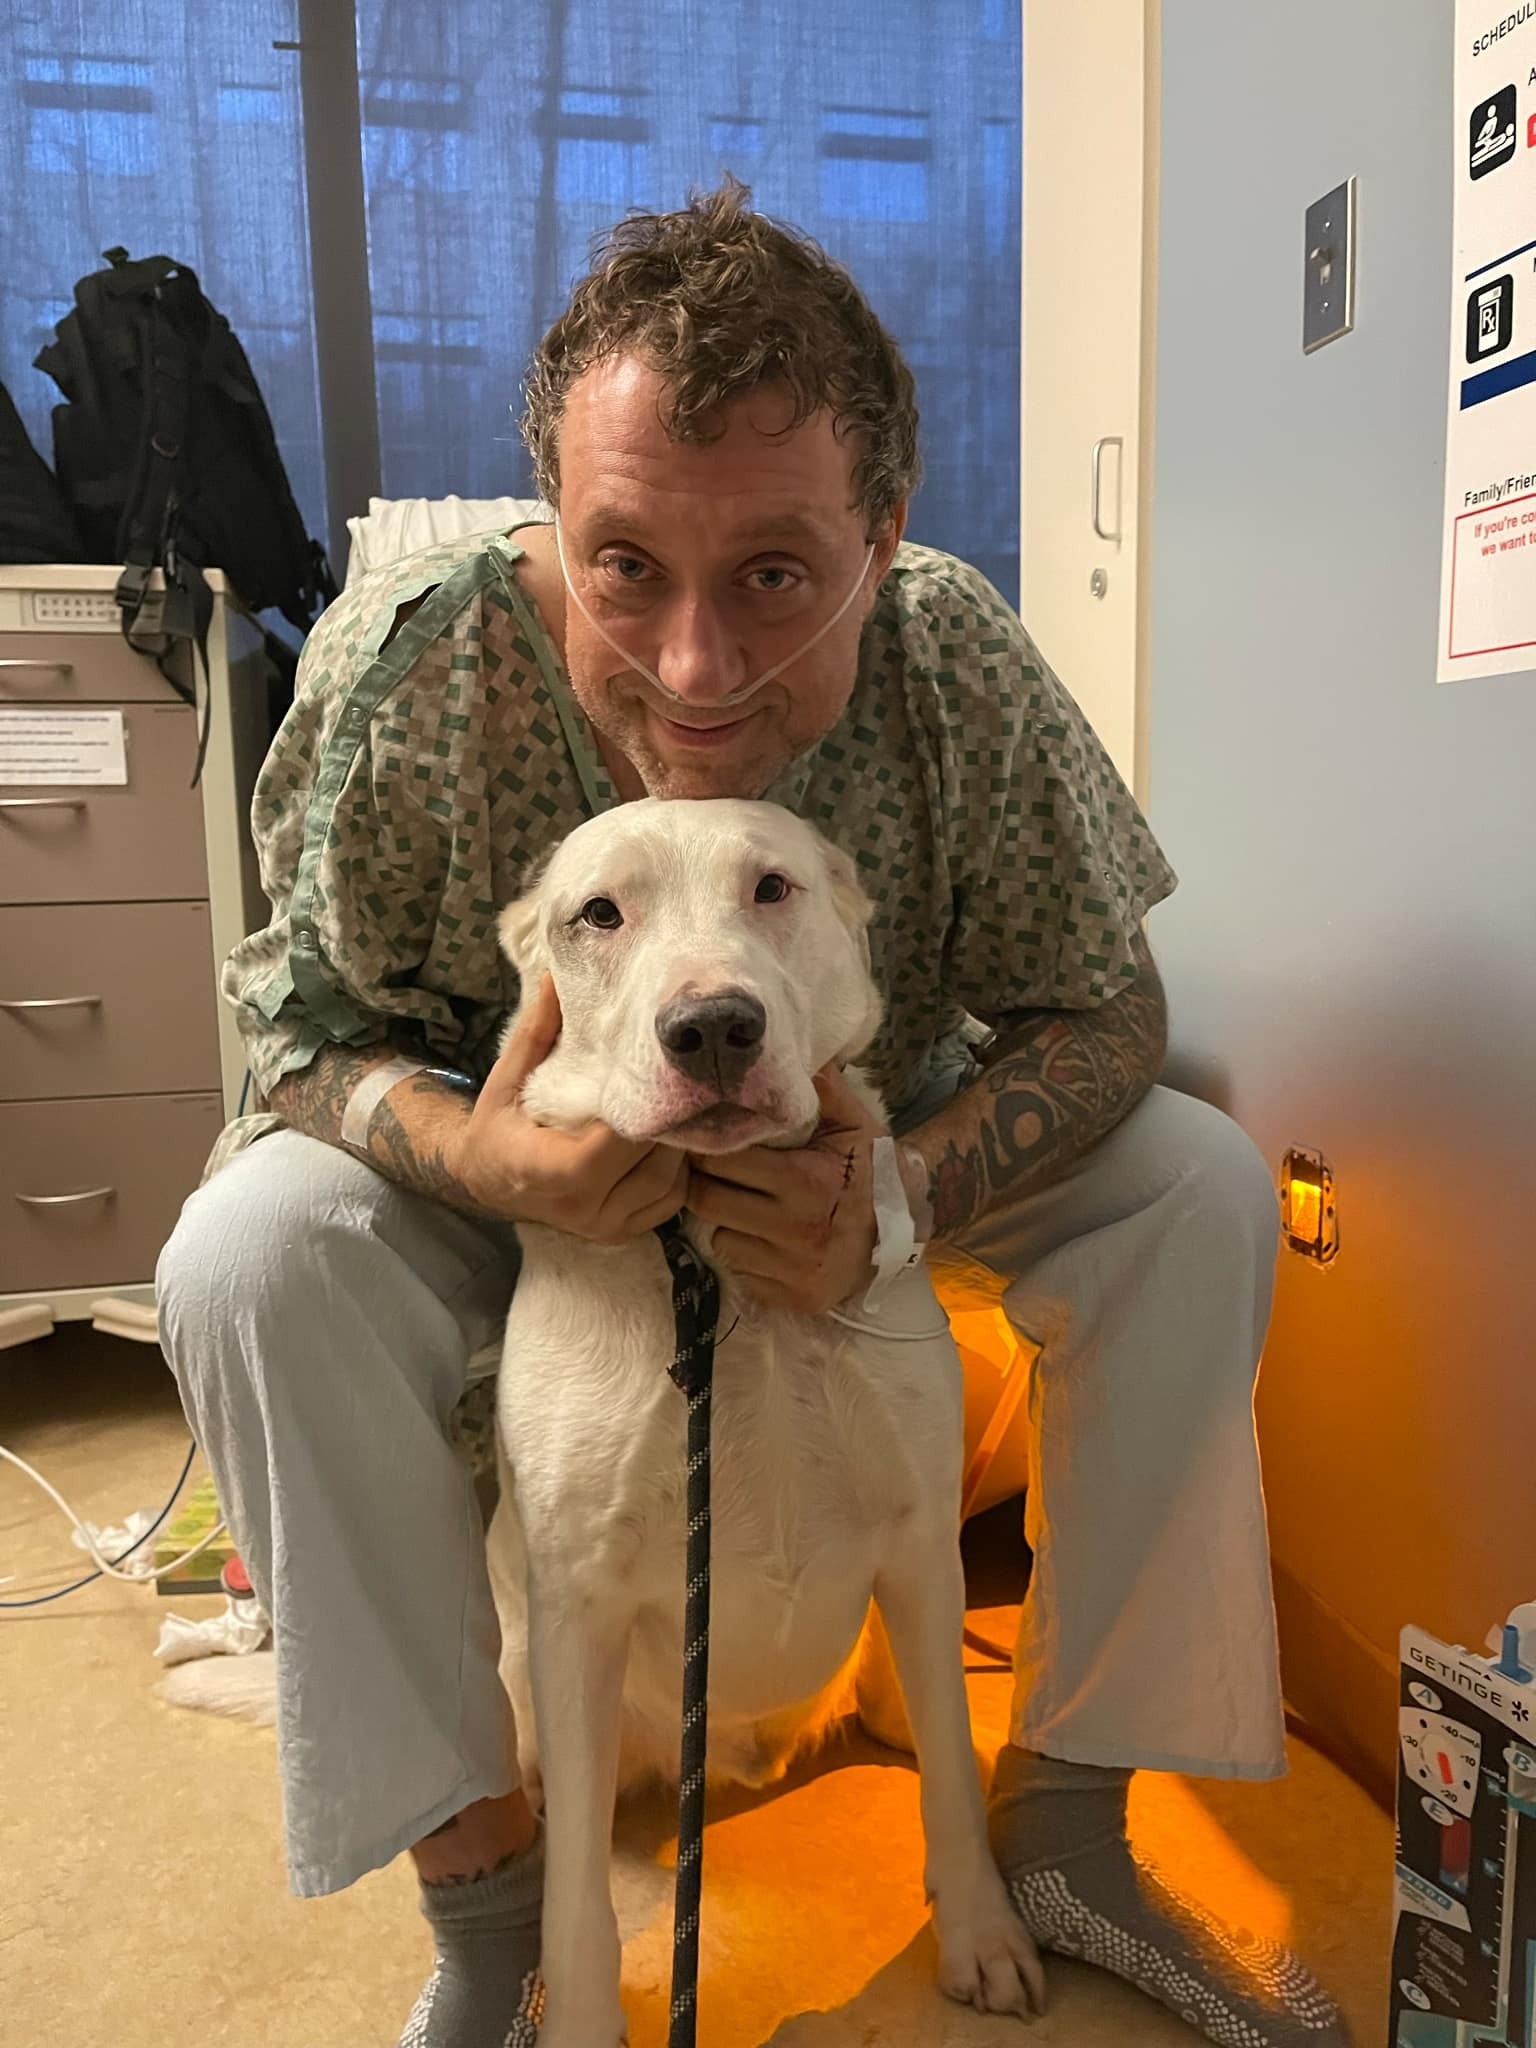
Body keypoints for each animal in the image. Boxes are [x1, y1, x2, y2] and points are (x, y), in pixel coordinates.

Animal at [493, 798, 1048, 2048]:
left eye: (772, 887)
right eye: (597, 912)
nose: (713, 1029)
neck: (714, 1258)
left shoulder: (918, 1542)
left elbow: (952, 1772)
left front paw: (982, 1929)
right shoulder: (576, 1607)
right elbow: (575, 1900)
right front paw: (580, 2015)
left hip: (899, 1633)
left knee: (932, 1711)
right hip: (522, 1682)